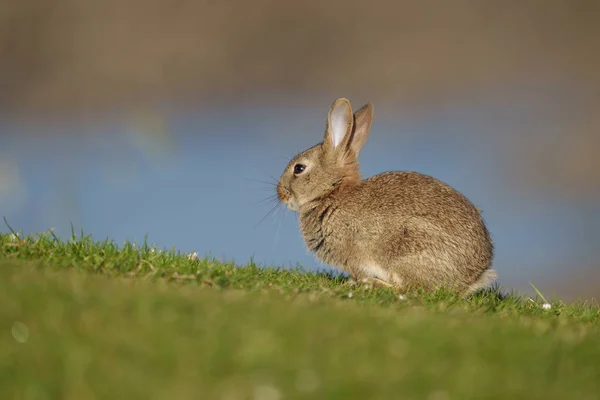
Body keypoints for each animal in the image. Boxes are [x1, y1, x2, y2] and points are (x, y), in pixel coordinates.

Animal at [276, 98, 496, 296]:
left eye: (299, 168)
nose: (280, 194)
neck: (331, 193)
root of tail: (473, 277)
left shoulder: (354, 255)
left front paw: (354, 283)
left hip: (407, 250)